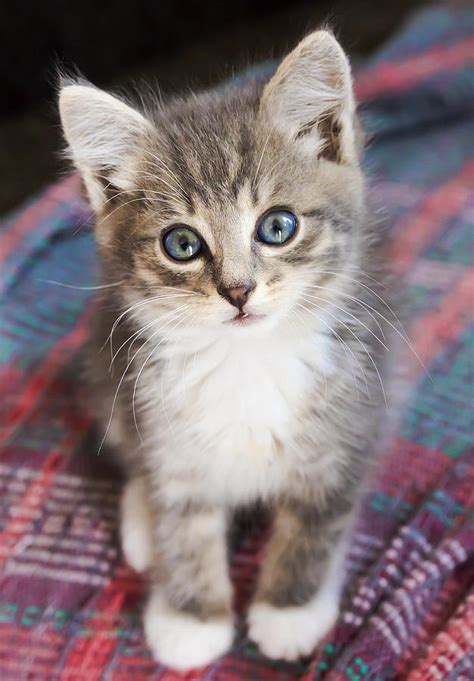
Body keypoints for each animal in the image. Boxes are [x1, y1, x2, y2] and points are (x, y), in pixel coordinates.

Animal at [59, 31, 392, 668]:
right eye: (182, 243)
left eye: (278, 227)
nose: (237, 290)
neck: (247, 362)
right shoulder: (167, 429)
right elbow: (182, 520)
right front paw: (191, 618)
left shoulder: (349, 426)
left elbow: (316, 523)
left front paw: (289, 610)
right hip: (107, 373)